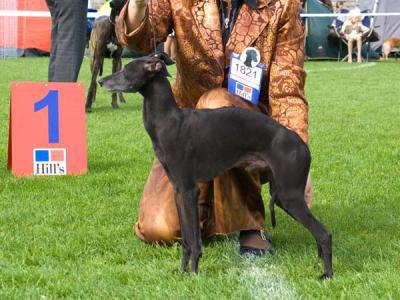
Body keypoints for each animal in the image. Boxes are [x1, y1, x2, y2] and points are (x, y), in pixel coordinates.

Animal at [100, 53, 334, 278]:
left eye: (126, 70)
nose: (101, 80)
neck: (169, 121)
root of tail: (302, 145)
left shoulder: (189, 190)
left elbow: (194, 239)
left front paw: (193, 273)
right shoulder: (178, 191)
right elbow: (186, 239)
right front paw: (182, 271)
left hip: (290, 195)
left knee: (324, 234)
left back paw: (327, 274)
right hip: (283, 195)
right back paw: (319, 264)